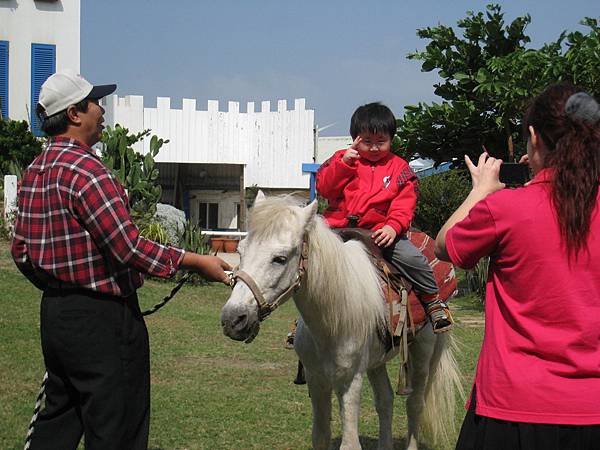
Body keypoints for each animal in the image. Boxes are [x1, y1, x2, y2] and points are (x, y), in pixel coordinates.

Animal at [223, 194, 462, 450]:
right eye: (240, 251)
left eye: (280, 258)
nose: (232, 318)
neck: (330, 321)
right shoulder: (316, 379)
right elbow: (320, 436)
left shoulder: (350, 382)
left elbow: (350, 444)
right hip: (376, 361)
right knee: (385, 400)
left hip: (423, 350)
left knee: (415, 404)